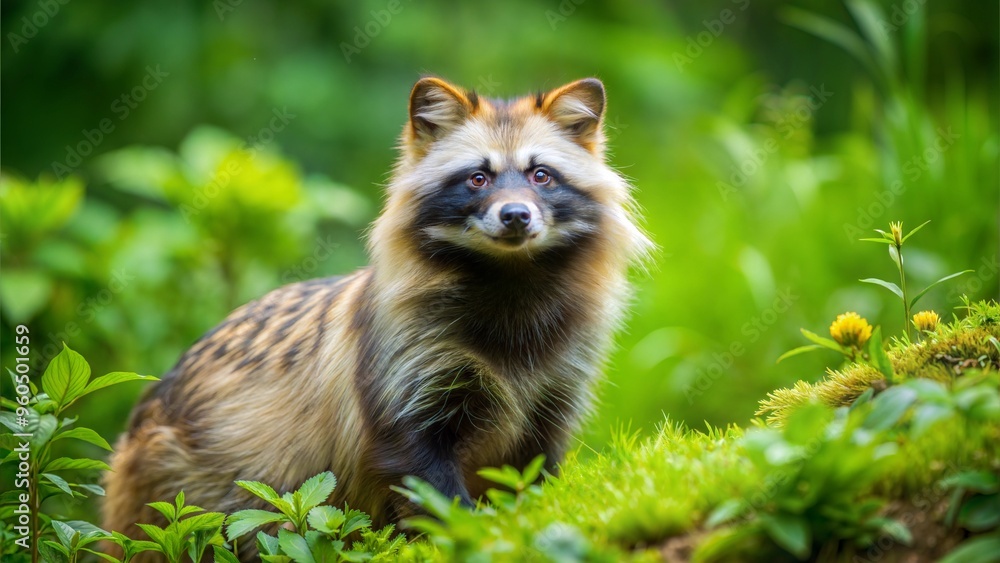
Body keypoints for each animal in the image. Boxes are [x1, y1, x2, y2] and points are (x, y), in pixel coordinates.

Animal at [103, 76, 652, 558]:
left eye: (542, 175)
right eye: (477, 178)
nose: (516, 215)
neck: (510, 282)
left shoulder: (557, 385)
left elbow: (535, 468)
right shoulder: (404, 372)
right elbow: (422, 473)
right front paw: (471, 533)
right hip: (175, 492)